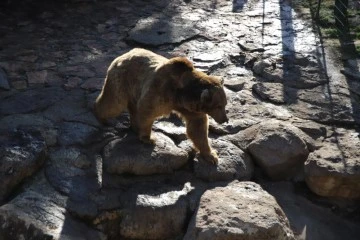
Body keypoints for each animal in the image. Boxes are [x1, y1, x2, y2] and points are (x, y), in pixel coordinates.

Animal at [93, 47, 228, 164]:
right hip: (123, 79)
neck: (181, 94)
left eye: (224, 104)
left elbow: (198, 128)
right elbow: (147, 109)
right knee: (115, 103)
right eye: (219, 106)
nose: (225, 119)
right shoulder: (161, 90)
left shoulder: (190, 108)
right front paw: (149, 138)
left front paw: (211, 156)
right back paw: (102, 116)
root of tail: (124, 54)